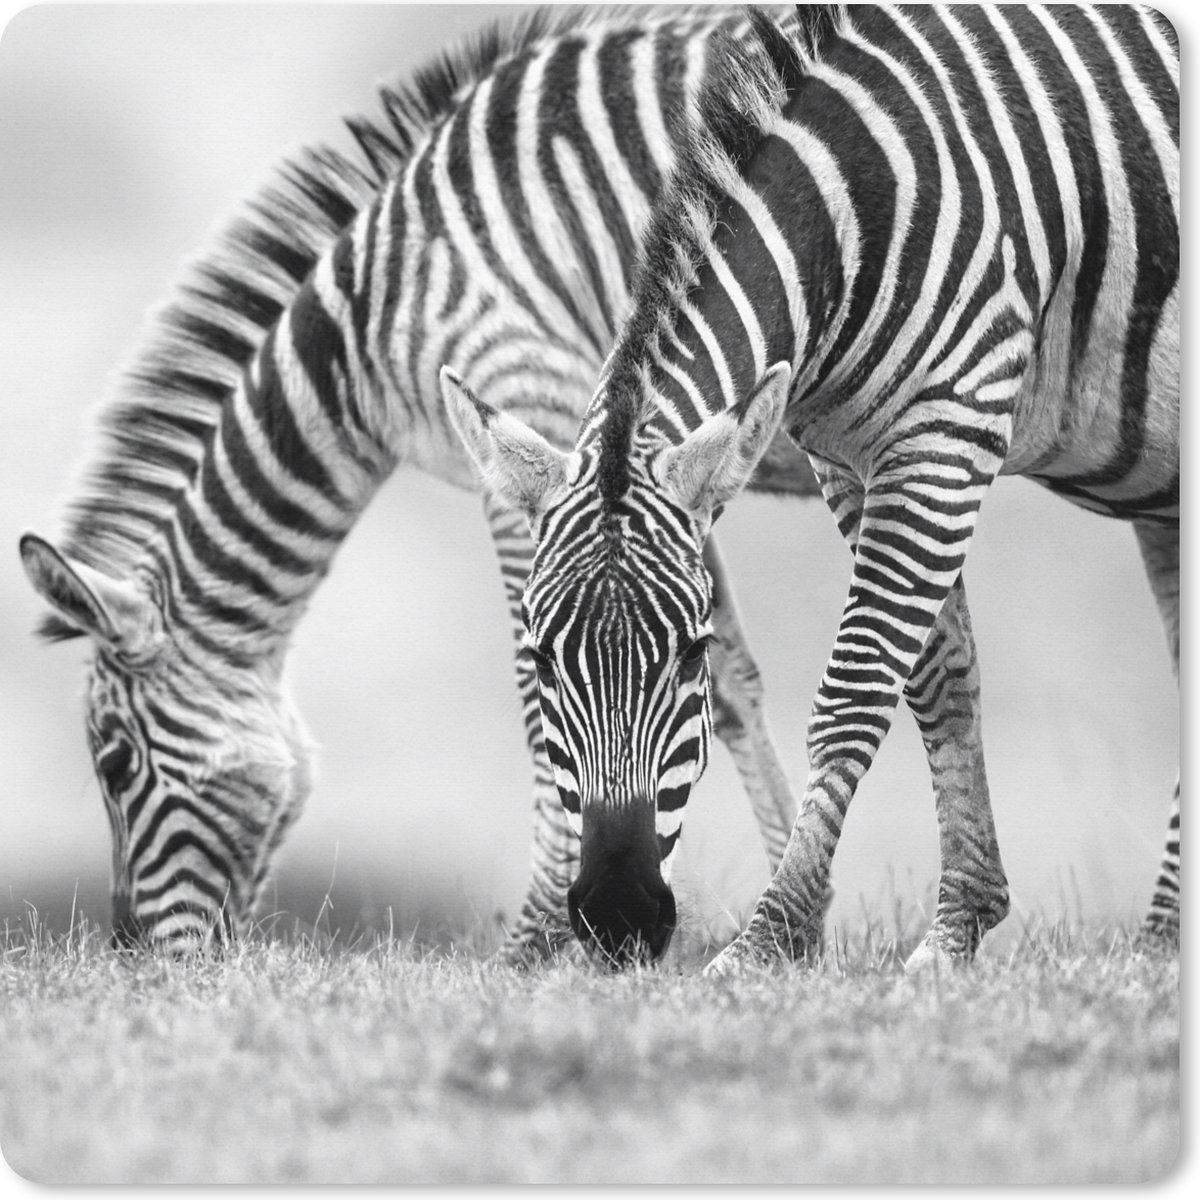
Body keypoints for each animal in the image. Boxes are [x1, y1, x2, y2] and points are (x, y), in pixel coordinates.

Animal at [19, 6, 825, 954]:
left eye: (114, 764)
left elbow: (541, 687)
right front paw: (795, 917)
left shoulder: (540, 415)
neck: (363, 335)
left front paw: (532, 945)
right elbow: (726, 680)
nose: (134, 956)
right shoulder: (649, 469)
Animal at [446, 4, 1179, 968]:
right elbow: (939, 681)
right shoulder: (852, 458)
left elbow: (858, 688)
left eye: (694, 653)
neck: (850, 209)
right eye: (539, 660)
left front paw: (769, 938)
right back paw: (1165, 935)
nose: (617, 915)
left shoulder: (947, 426)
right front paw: (959, 924)